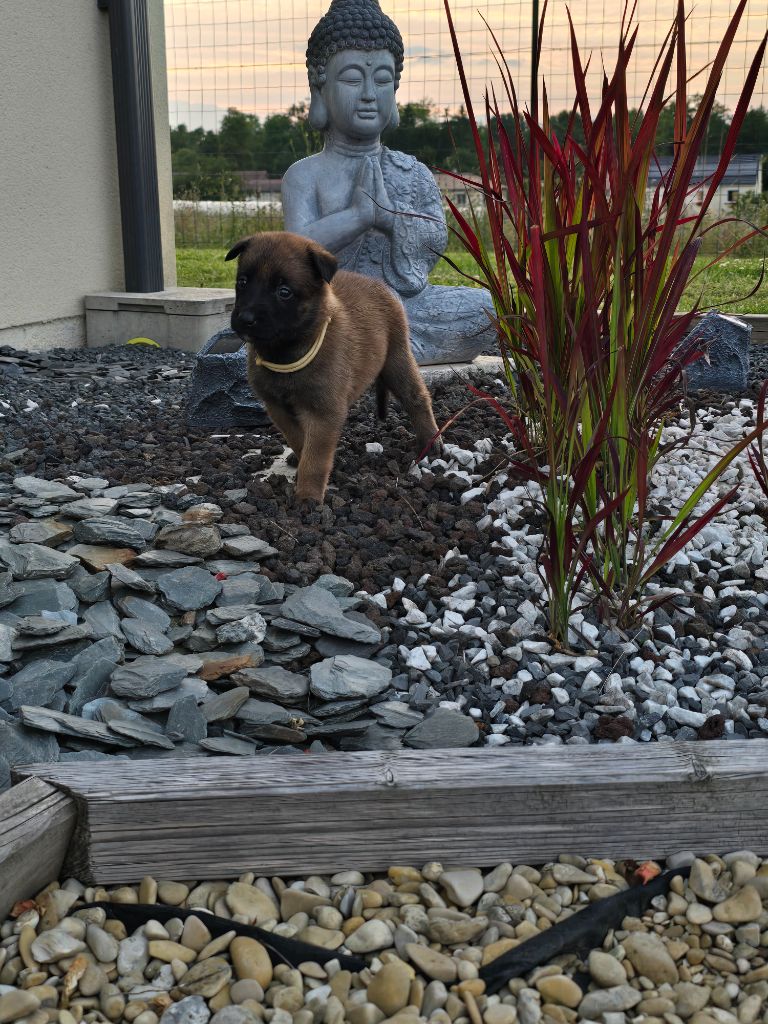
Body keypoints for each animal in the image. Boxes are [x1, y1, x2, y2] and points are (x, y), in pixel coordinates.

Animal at [225, 231, 441, 504]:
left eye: (284, 292)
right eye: (242, 282)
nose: (245, 319)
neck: (287, 351)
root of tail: (378, 284)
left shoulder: (324, 411)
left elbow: (315, 457)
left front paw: (308, 496)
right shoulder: (277, 407)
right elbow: (299, 439)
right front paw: (302, 462)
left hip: (397, 359)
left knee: (417, 399)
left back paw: (430, 443)